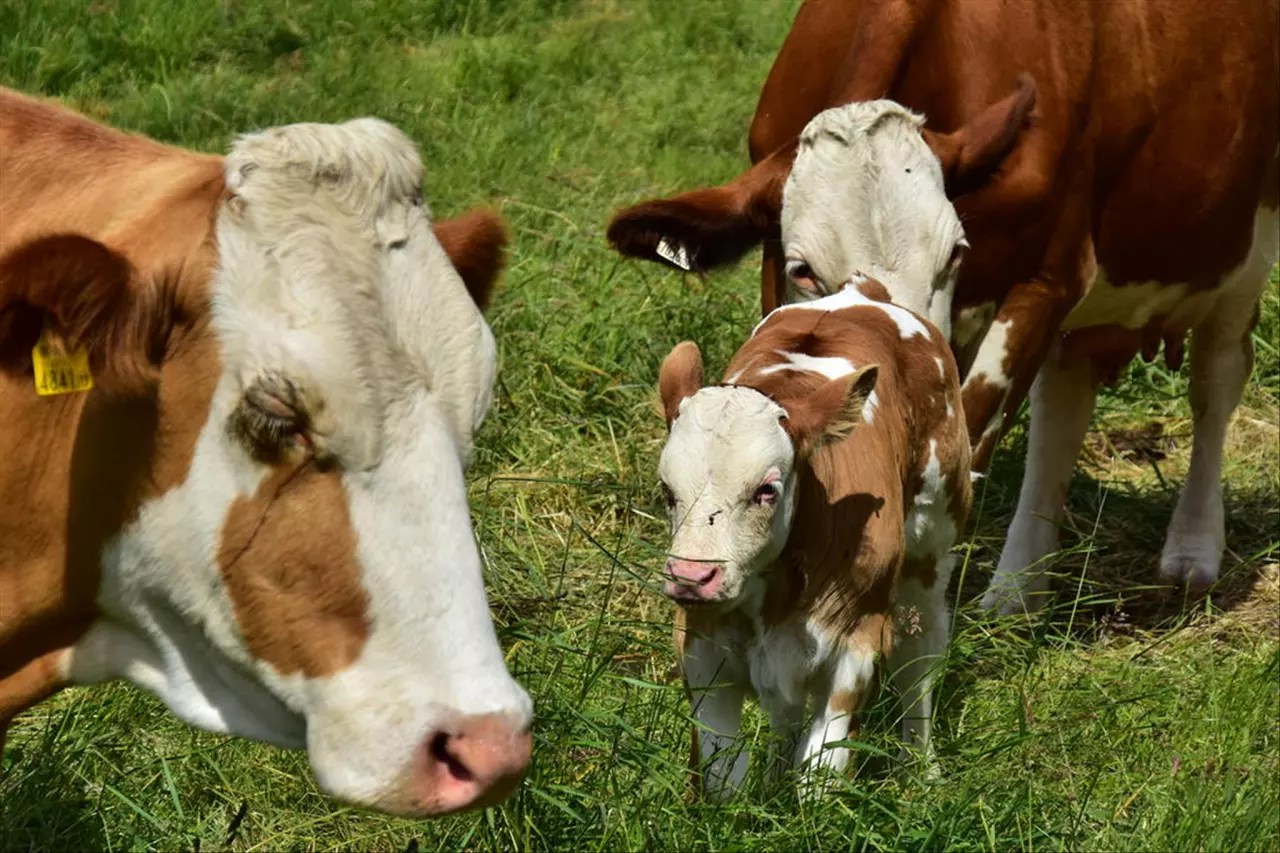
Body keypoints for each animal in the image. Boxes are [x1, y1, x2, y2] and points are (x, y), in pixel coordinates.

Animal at [609, 0, 1280, 612]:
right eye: (803, 269)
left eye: (955, 253)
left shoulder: (1050, 277)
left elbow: (971, 431)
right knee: (1064, 405)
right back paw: (1018, 595)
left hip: (1247, 246)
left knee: (1216, 381)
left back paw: (1191, 552)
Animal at [655, 274, 962, 799]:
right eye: (667, 489)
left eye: (766, 489)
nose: (692, 576)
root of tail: (863, 291)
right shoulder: (701, 646)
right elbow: (723, 779)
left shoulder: (855, 644)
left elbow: (820, 776)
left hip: (931, 549)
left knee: (918, 659)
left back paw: (920, 770)